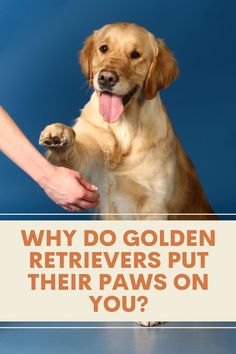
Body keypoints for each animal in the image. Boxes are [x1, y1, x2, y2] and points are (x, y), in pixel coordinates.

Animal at [39, 22, 218, 220]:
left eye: (135, 54)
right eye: (103, 48)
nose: (106, 78)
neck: (122, 125)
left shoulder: (154, 204)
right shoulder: (90, 168)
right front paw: (58, 133)